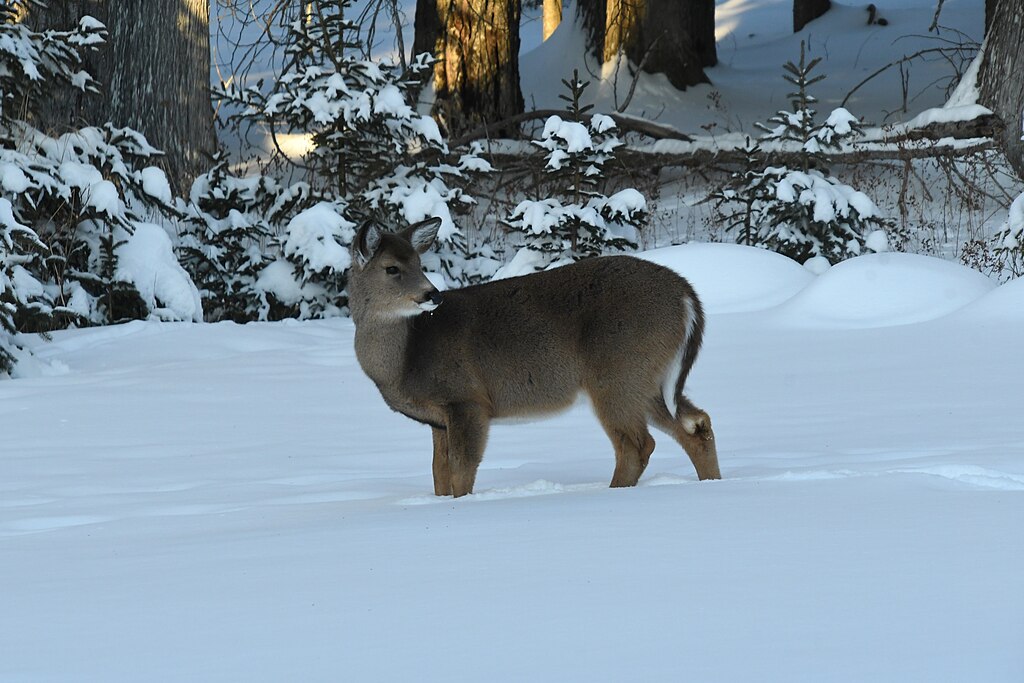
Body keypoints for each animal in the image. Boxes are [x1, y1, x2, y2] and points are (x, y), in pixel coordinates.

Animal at [348, 217, 721, 498]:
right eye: (392, 268)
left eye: (419, 264)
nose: (433, 295)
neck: (407, 357)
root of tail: (688, 297)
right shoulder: (438, 418)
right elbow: (439, 473)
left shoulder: (466, 399)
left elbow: (461, 472)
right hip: (651, 378)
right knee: (697, 423)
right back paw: (713, 483)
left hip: (618, 372)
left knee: (637, 444)